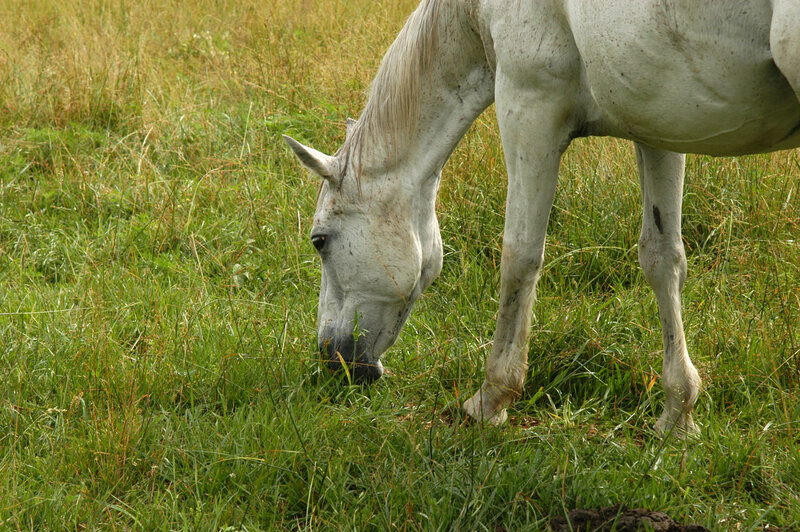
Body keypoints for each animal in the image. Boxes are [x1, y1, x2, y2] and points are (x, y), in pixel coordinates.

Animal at [284, 0, 800, 435]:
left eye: (319, 240)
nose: (333, 360)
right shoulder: (657, 127)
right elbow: (662, 259)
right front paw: (678, 413)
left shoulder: (529, 108)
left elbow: (520, 257)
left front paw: (491, 399)